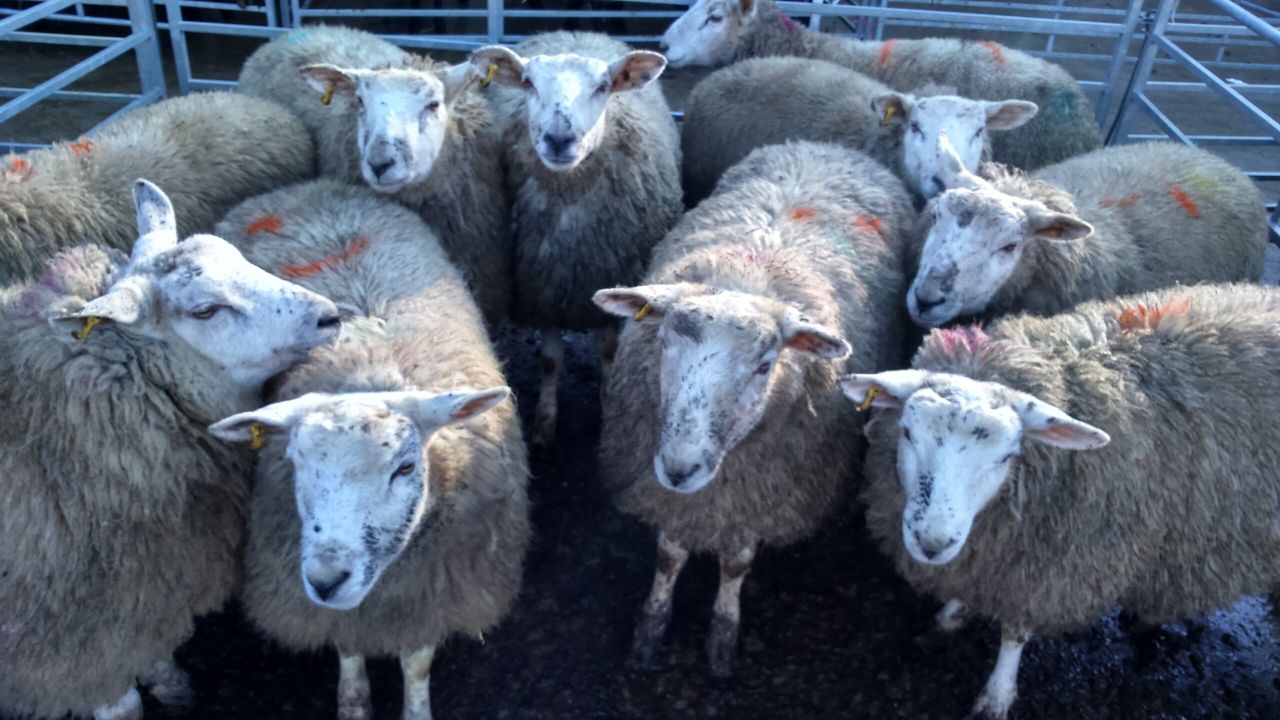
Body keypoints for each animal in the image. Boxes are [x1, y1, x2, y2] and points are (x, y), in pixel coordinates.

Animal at [210, 178, 530, 720]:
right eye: (295, 463)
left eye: (404, 467)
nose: (325, 579)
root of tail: (309, 187)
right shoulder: (348, 610)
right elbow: (347, 647)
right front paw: (354, 703)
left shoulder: (433, 590)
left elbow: (416, 664)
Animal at [469, 31, 684, 448]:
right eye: (529, 84)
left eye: (602, 87)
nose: (558, 138)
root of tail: (576, 34)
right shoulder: (545, 288)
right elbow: (550, 360)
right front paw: (544, 424)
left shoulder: (610, 278)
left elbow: (609, 351)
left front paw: (607, 403)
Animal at [594, 141, 913, 677]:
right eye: (662, 341)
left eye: (766, 365)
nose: (680, 467)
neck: (749, 278)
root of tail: (825, 146)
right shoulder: (673, 492)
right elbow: (668, 556)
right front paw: (650, 632)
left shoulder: (758, 493)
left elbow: (736, 564)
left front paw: (722, 641)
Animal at [839, 282, 1280, 718]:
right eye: (907, 432)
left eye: (1007, 456)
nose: (932, 543)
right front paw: (953, 612)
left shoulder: (1053, 569)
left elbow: (1014, 633)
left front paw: (997, 695)